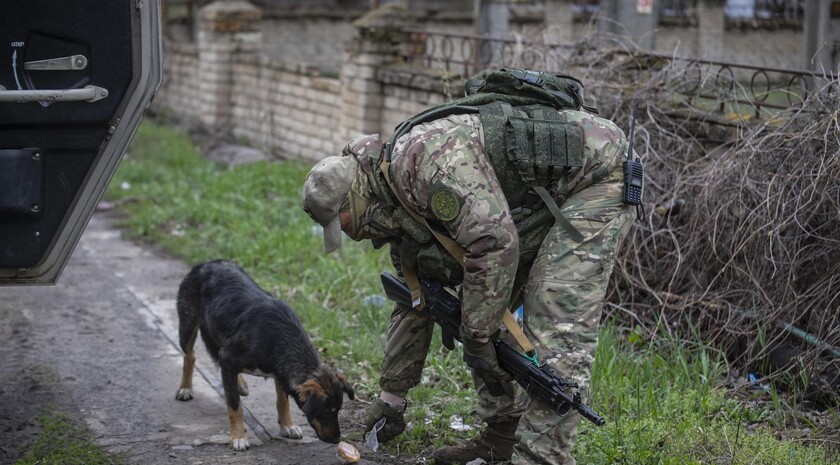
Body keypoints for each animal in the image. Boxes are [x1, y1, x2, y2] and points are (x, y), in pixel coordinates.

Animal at [172, 260, 352, 448]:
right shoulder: (228, 357)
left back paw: (239, 383)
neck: (280, 338)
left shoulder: (279, 372)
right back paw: (185, 388)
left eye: (338, 410)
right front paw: (238, 437)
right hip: (188, 326)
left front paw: (287, 425)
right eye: (324, 412)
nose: (337, 440)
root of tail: (206, 263)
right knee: (190, 355)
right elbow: (235, 404)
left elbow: (283, 402)